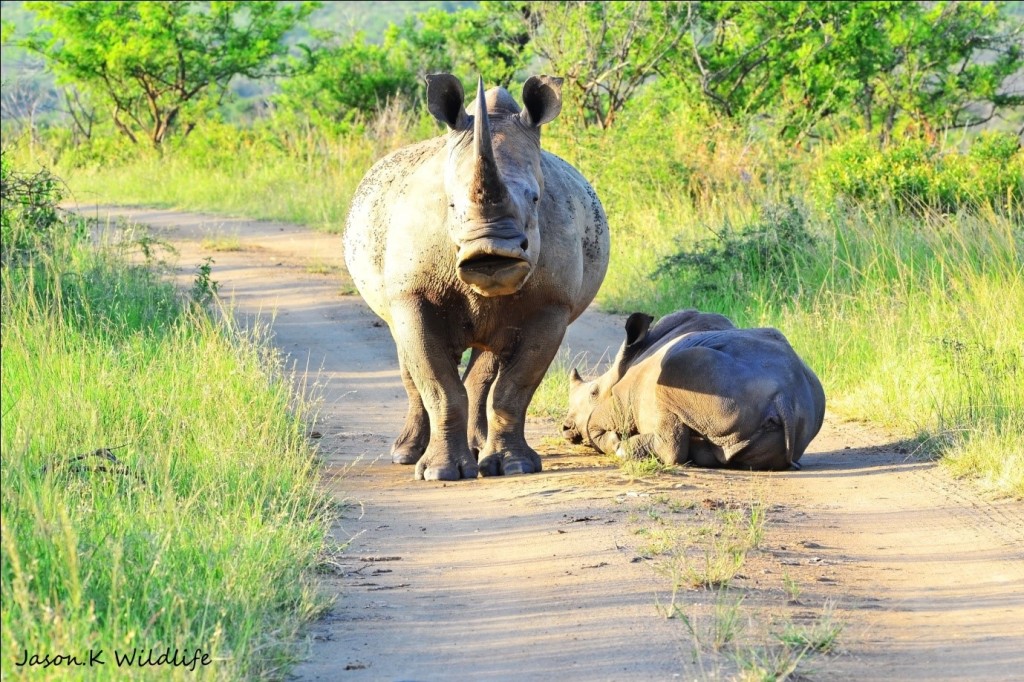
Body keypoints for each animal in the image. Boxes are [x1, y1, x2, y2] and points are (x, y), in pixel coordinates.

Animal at [344, 73, 606, 477]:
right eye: (451, 204)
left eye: (535, 199)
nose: (490, 253)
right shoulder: (411, 294)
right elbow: (439, 385)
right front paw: (440, 473)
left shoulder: (552, 303)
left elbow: (514, 388)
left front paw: (516, 467)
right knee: (408, 357)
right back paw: (406, 454)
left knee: (487, 363)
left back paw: (479, 448)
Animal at [565, 311, 827, 471]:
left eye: (594, 392)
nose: (566, 427)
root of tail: (786, 397)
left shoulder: (619, 398)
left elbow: (594, 426)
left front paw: (613, 442)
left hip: (705, 379)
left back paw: (625, 450)